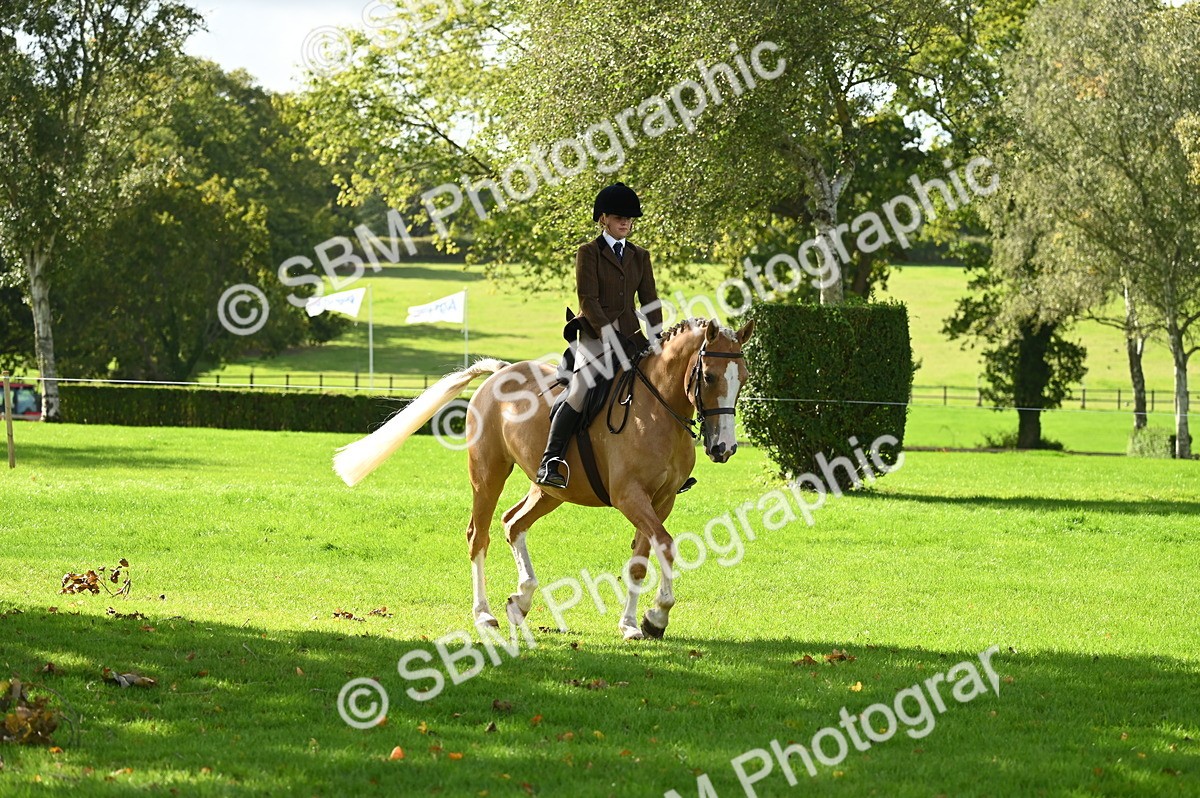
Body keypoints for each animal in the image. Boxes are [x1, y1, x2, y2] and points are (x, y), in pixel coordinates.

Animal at [333, 317, 755, 640]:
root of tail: (500, 372)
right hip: (488, 475)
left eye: (744, 378)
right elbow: (665, 545)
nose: (724, 448)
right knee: (479, 535)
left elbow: (640, 560)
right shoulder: (630, 496)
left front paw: (634, 624)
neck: (657, 409)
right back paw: (485, 615)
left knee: (513, 523)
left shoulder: (661, 500)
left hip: (549, 490)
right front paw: (658, 616)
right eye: (709, 376)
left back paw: (521, 601)